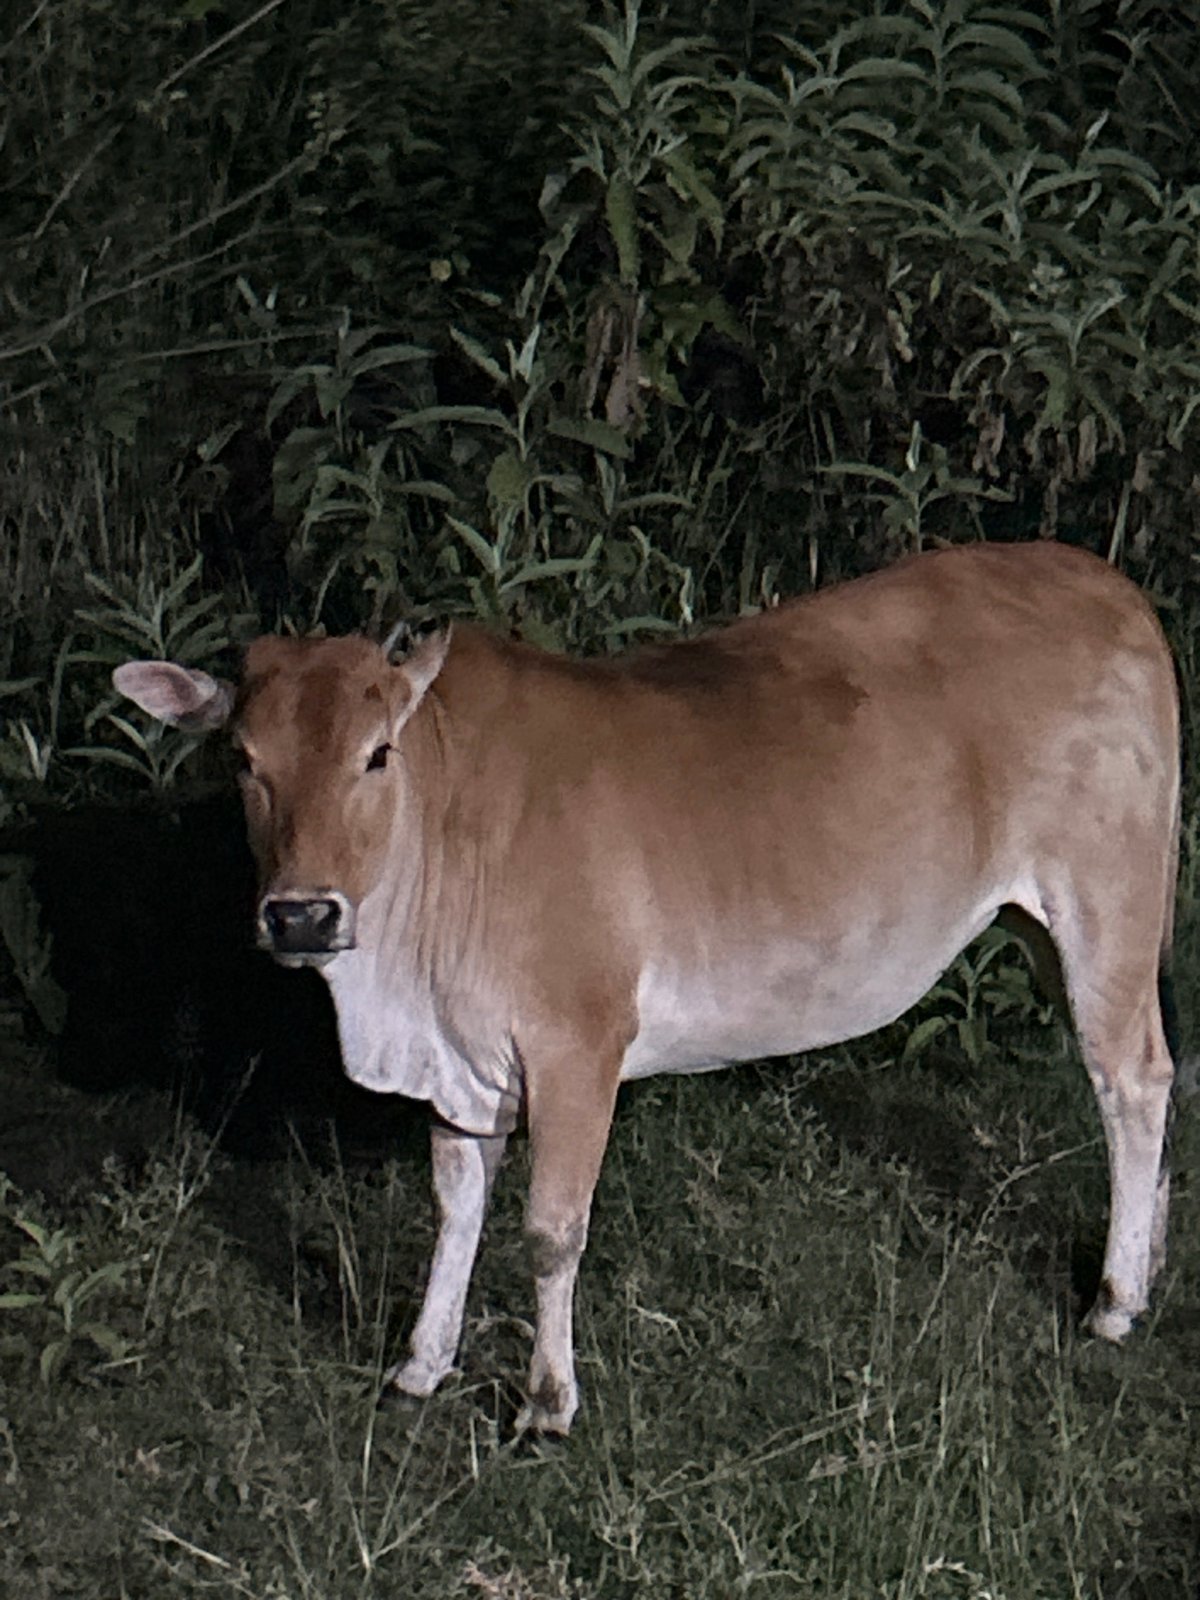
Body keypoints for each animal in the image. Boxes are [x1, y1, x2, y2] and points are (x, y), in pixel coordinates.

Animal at [113, 540, 1179, 1434]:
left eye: (377, 753)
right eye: (242, 759)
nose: (301, 916)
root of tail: (1101, 579)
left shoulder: (576, 1044)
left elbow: (550, 1231)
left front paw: (548, 1401)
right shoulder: (460, 1059)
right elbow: (456, 1206)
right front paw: (423, 1362)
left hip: (1107, 899)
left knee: (1131, 1078)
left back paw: (1116, 1299)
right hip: (1043, 923)